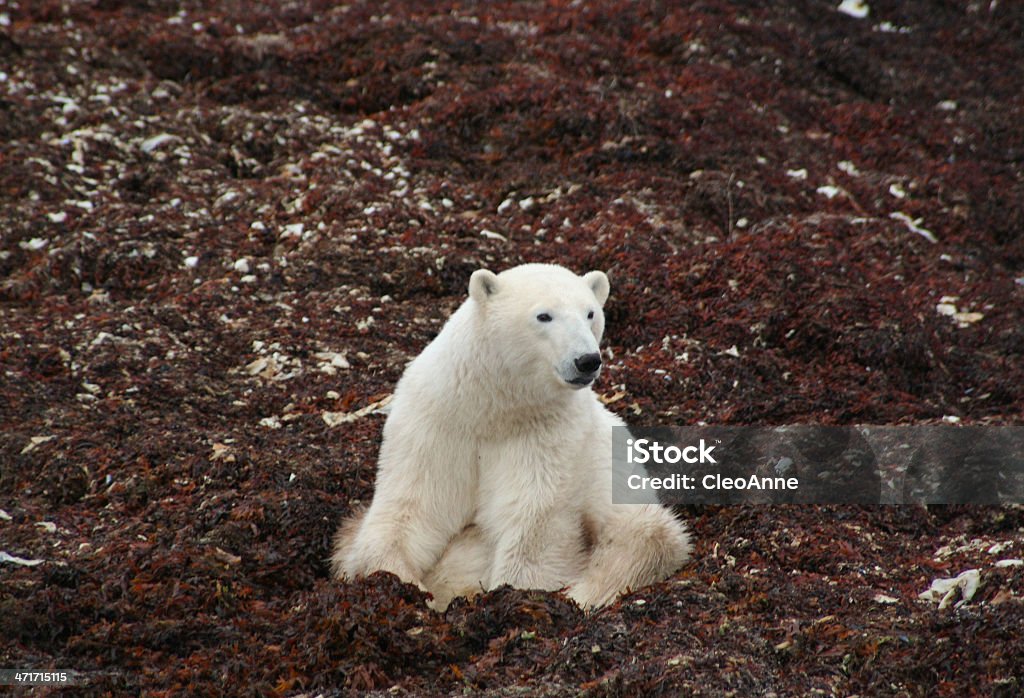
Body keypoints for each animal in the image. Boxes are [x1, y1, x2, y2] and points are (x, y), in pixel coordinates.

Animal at [331, 264, 692, 605]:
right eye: (544, 315)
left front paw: (516, 592)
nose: (587, 360)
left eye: (590, 313)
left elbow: (535, 516)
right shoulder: (436, 423)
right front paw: (396, 580)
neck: (494, 408)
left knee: (645, 537)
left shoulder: (546, 431)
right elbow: (414, 506)